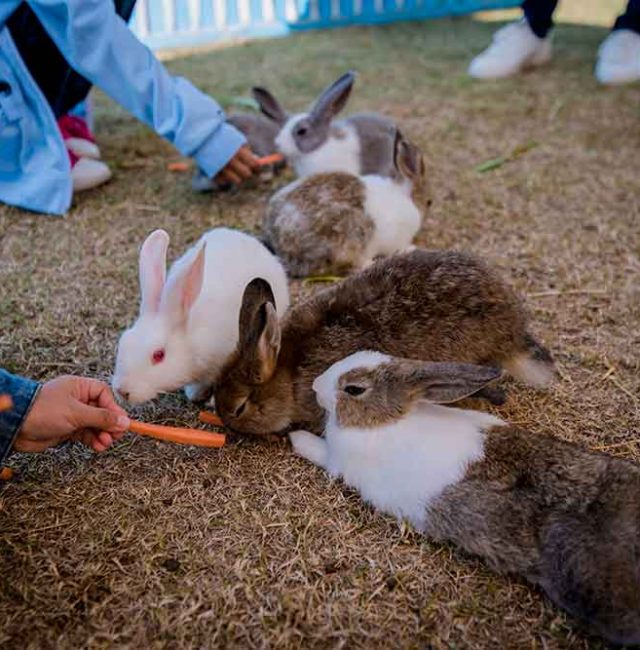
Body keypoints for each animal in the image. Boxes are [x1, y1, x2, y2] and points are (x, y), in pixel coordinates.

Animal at [262, 130, 432, 274]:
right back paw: (371, 263)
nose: (428, 205)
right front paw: (410, 248)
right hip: (351, 237)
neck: (407, 197)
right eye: (429, 202)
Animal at [288, 352, 640, 644]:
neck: (384, 421)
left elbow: (316, 449)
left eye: (354, 389)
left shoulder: (337, 460)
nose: (316, 385)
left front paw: (295, 437)